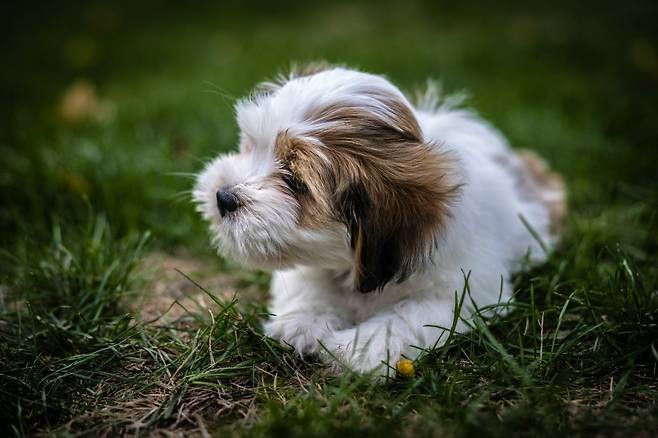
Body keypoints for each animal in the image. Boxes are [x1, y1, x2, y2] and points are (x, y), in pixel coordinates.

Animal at [193, 63, 566, 375]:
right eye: (249, 146)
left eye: (295, 181)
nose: (223, 196)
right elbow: (309, 280)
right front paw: (302, 322)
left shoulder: (467, 290)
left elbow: (412, 316)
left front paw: (356, 348)